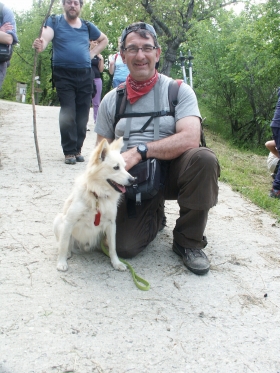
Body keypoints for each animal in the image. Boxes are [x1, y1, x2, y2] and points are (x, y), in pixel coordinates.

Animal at [53, 138, 136, 272]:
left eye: (124, 166)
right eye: (116, 167)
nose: (133, 180)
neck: (97, 196)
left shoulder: (111, 224)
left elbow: (113, 247)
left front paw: (116, 263)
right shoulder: (69, 221)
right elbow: (64, 244)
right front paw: (61, 262)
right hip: (58, 220)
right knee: (66, 243)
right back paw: (68, 254)